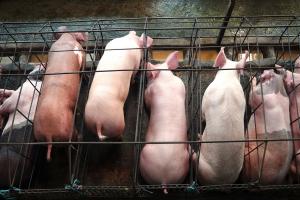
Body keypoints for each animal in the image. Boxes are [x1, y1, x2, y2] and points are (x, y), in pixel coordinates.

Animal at [34, 26, 88, 161]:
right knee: (73, 141)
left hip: (40, 136)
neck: (66, 38)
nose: (86, 32)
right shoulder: (81, 52)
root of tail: (48, 133)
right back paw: (80, 139)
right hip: (68, 131)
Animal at [139, 51, 190, 194]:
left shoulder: (149, 93)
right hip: (184, 162)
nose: (145, 62)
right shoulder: (180, 84)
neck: (165, 78)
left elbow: (147, 100)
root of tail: (164, 178)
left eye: (148, 74)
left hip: (144, 155)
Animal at [195, 47, 248, 184]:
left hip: (201, 163)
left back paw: (198, 138)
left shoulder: (205, 100)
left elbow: (203, 115)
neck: (228, 78)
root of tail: (220, 181)